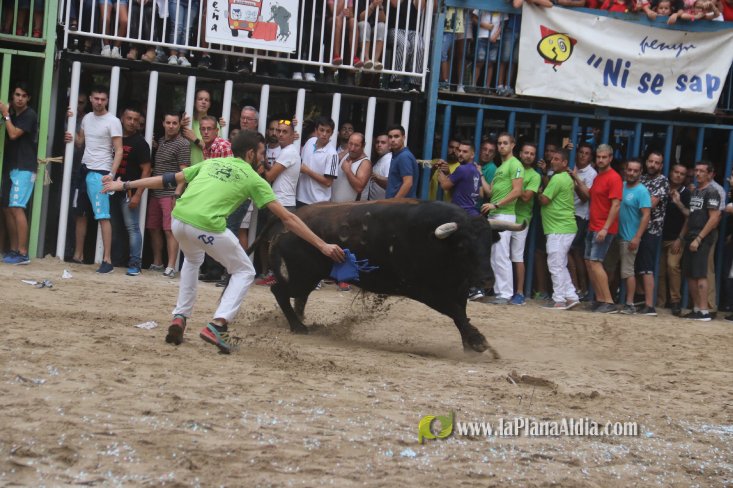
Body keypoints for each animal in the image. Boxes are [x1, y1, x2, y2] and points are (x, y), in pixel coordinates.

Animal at [252, 199, 524, 356]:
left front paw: (470, 343)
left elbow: (462, 315)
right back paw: (298, 327)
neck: (437, 242)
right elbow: (456, 313)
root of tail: (290, 218)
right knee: (280, 292)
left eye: (489, 243)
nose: (487, 279)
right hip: (299, 276)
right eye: (463, 246)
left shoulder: (457, 290)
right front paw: (478, 342)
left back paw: (300, 321)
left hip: (306, 278)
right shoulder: (428, 291)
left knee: (298, 297)